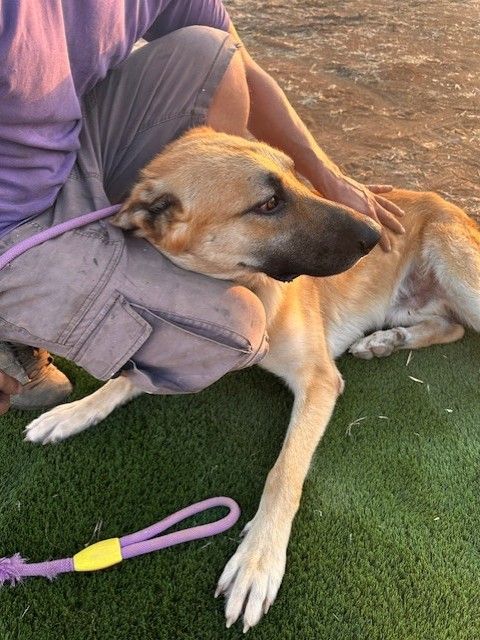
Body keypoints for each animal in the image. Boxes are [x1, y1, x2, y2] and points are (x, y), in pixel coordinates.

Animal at [24, 128, 480, 632]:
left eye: (298, 176)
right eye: (269, 204)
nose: (377, 233)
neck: (245, 285)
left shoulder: (319, 379)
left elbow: (284, 472)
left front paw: (258, 560)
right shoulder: (185, 357)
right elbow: (125, 379)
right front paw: (71, 413)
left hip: (462, 277)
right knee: (451, 327)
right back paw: (387, 340)